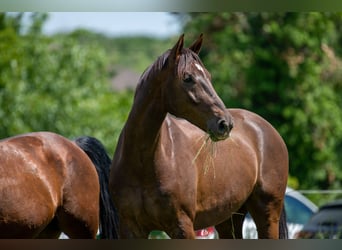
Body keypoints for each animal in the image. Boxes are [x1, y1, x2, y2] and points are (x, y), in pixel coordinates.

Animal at [110, 34, 288, 239]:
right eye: (188, 78)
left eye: (209, 76)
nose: (225, 123)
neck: (143, 163)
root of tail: (267, 128)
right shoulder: (131, 228)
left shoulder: (182, 227)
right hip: (229, 218)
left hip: (267, 214)